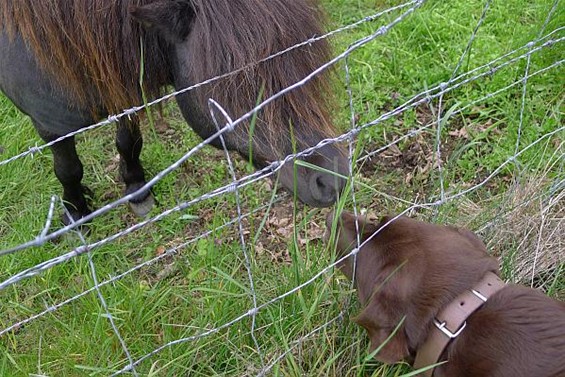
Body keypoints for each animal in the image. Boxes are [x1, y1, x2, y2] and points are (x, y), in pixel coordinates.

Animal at [0, 0, 346, 222]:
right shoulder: (51, 126)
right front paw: (76, 213)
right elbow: (68, 169)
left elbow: (129, 143)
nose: (333, 179)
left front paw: (137, 189)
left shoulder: (126, 92)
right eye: (237, 82)